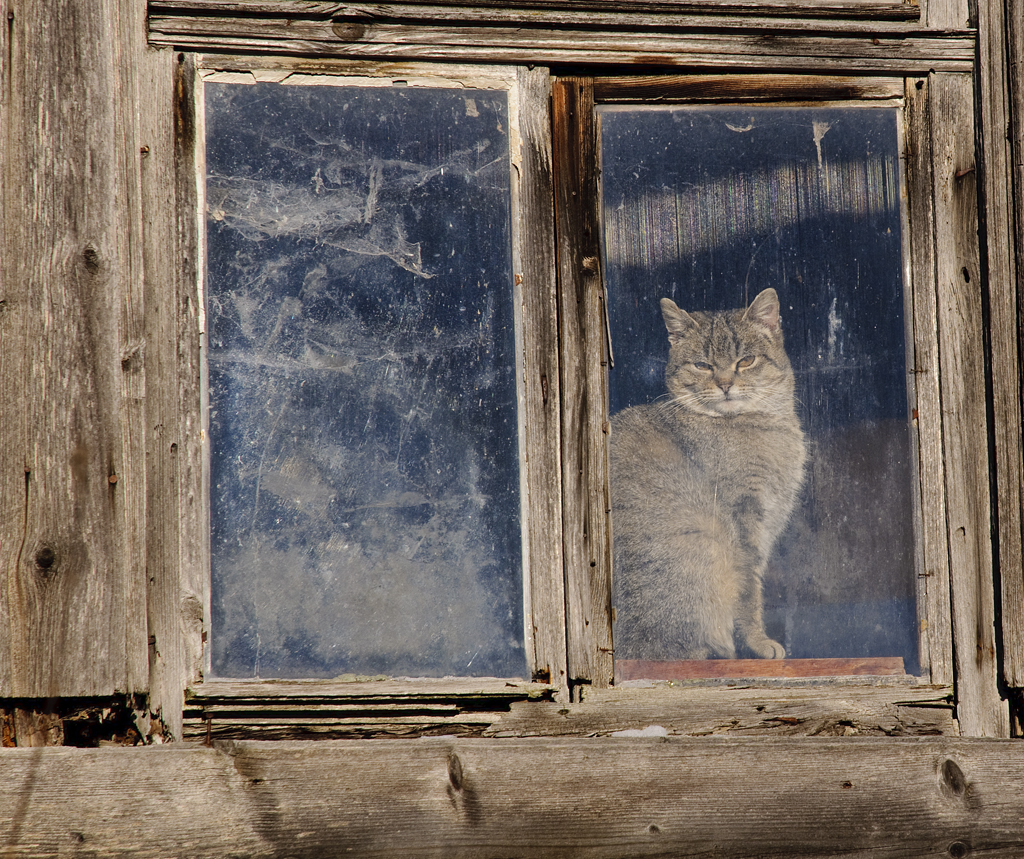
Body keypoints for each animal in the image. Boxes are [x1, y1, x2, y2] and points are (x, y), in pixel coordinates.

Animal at [606, 286, 806, 659]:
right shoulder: (743, 517)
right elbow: (748, 591)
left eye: (746, 360)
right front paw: (759, 644)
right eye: (702, 365)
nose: (725, 384)